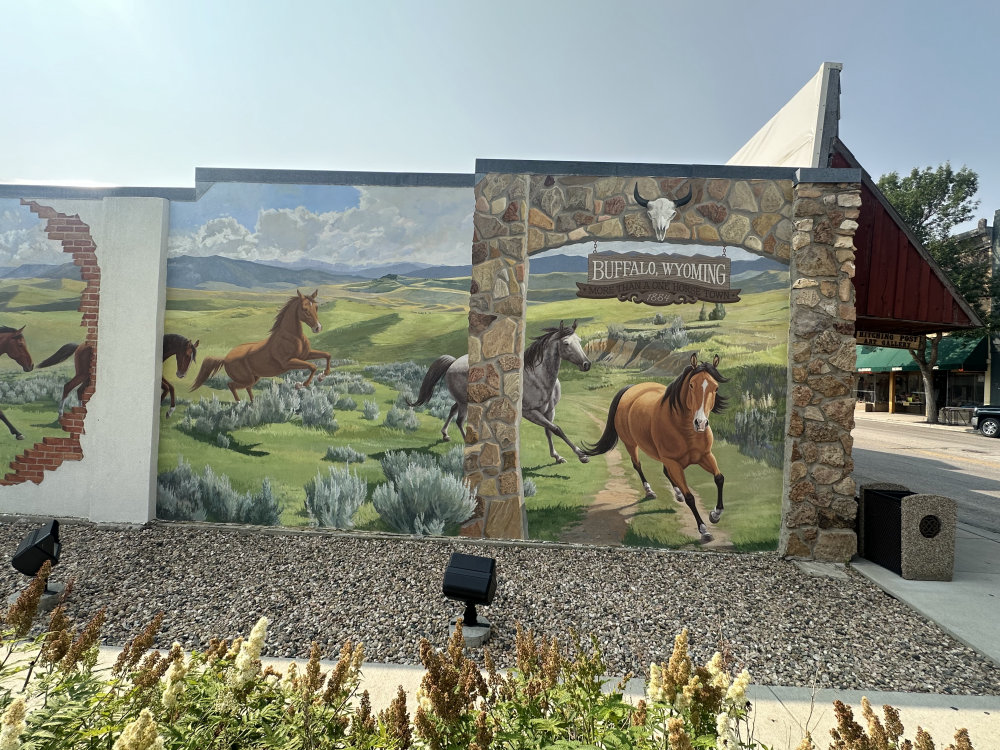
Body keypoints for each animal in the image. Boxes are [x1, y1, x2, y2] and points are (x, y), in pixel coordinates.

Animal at [193, 290, 334, 406]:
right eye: (305, 309)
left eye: (316, 307)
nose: (318, 328)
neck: (292, 336)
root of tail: (225, 358)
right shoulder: (288, 362)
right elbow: (313, 366)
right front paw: (301, 385)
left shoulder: (305, 355)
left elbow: (327, 355)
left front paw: (323, 375)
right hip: (246, 378)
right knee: (232, 385)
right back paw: (239, 403)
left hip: (255, 378)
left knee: (247, 387)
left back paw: (253, 403)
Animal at [580, 356, 728, 544]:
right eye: (691, 385)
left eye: (715, 387)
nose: (700, 423)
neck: (685, 430)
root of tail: (631, 388)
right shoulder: (673, 462)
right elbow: (690, 497)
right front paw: (704, 531)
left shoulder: (705, 456)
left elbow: (719, 478)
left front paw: (715, 514)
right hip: (631, 444)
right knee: (637, 465)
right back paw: (650, 491)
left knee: (665, 472)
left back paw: (677, 494)